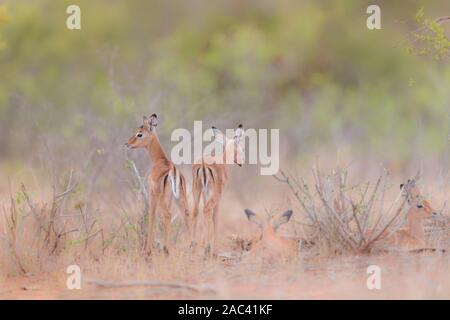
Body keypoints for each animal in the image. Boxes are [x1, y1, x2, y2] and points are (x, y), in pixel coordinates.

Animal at [125, 114, 191, 255]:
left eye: (140, 133)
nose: (127, 143)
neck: (159, 160)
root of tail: (172, 171)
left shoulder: (152, 193)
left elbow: (152, 216)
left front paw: (148, 251)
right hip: (179, 198)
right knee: (186, 213)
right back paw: (192, 246)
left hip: (162, 199)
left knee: (167, 215)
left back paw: (166, 249)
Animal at [191, 124, 244, 255]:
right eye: (242, 149)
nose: (242, 162)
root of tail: (203, 164)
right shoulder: (218, 197)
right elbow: (216, 218)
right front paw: (213, 248)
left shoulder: (205, 194)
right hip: (213, 194)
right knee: (207, 210)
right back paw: (207, 249)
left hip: (197, 189)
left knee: (196, 211)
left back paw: (193, 246)